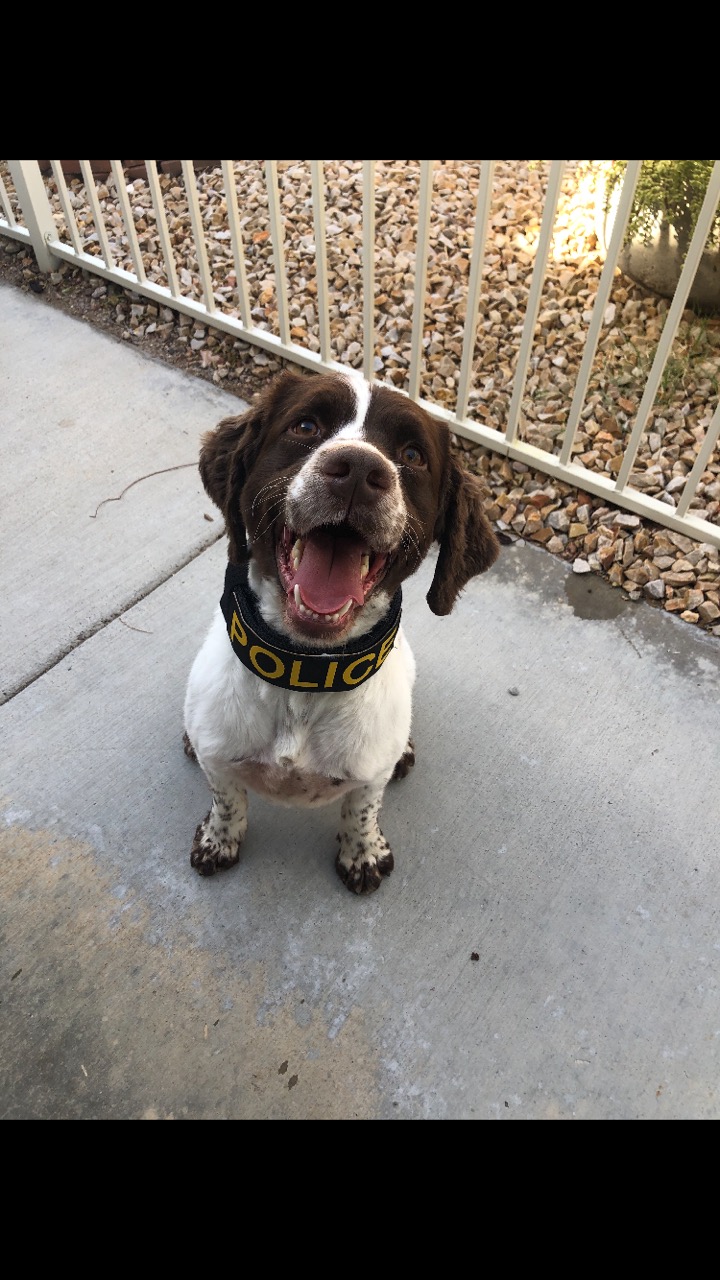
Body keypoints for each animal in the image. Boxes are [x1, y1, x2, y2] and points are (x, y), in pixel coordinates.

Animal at [183, 368, 499, 894]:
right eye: (306, 426)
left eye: (412, 456)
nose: (357, 469)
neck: (306, 670)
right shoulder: (220, 759)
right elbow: (227, 800)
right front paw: (219, 839)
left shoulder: (369, 776)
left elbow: (362, 811)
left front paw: (363, 853)